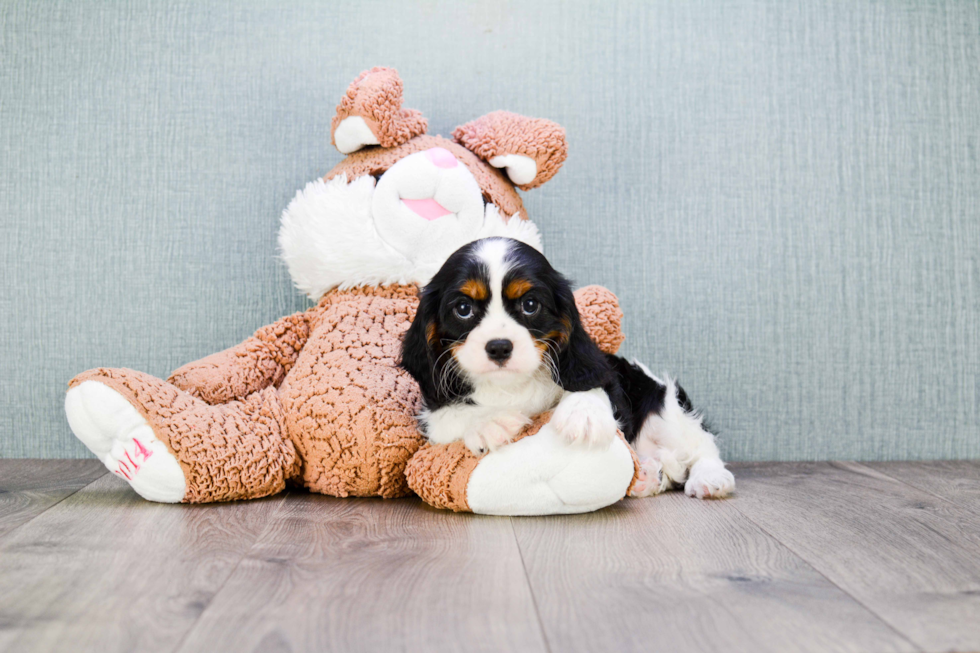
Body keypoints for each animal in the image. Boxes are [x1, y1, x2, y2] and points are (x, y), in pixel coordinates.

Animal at [400, 239, 736, 500]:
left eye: (530, 305)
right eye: (463, 309)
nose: (499, 347)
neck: (511, 385)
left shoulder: (604, 375)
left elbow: (591, 385)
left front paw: (584, 415)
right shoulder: (432, 414)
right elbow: (448, 417)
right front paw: (489, 422)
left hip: (663, 407)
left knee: (700, 444)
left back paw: (710, 478)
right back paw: (648, 477)